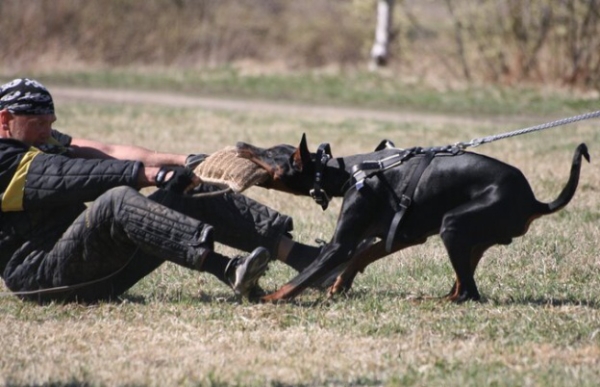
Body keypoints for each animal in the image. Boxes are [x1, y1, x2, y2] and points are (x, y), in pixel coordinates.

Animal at [237, 136, 588, 304]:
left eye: (271, 153)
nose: (240, 144)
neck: (355, 172)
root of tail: (533, 201)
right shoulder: (401, 235)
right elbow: (361, 255)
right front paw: (339, 285)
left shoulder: (340, 244)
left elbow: (302, 277)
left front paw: (266, 298)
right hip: (469, 239)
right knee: (462, 285)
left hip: (453, 226)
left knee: (468, 293)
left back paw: (427, 301)